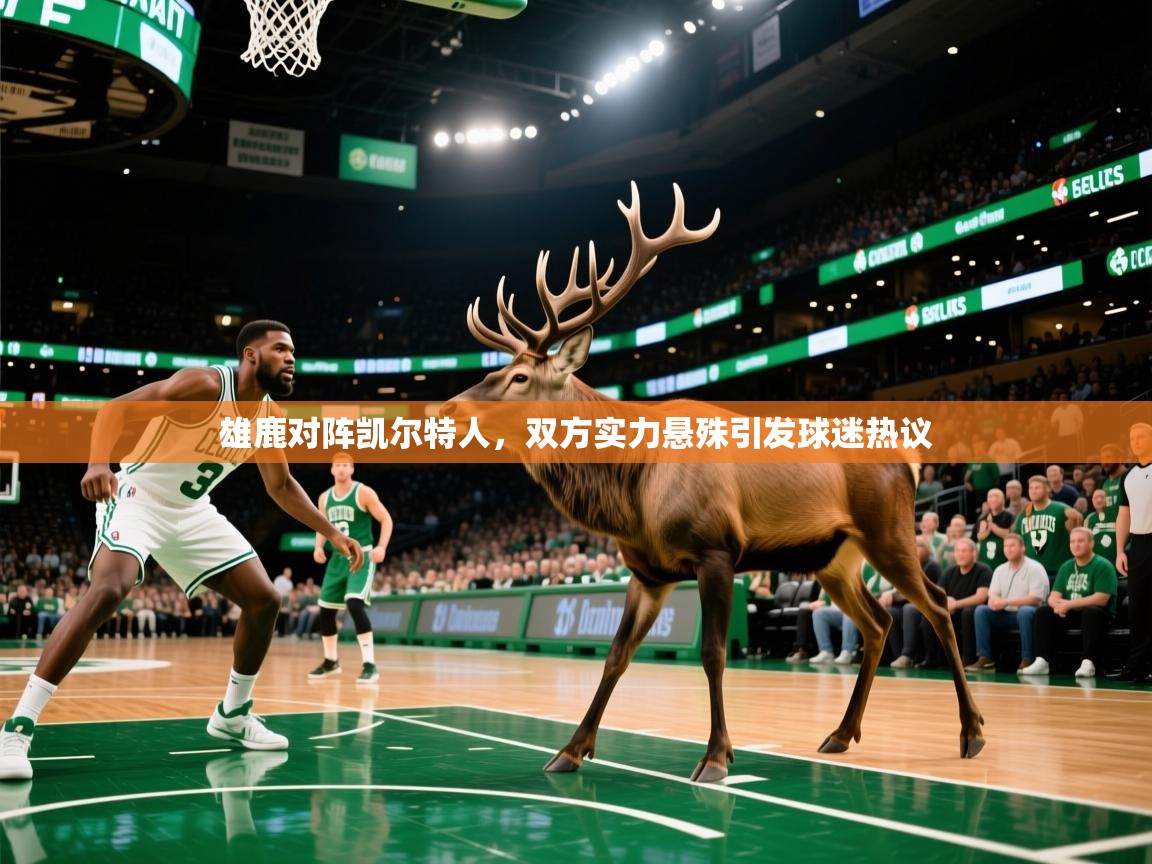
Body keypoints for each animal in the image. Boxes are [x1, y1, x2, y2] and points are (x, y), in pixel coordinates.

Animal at [440, 183, 985, 782]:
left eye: (519, 377)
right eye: (494, 370)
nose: (447, 407)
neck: (632, 493)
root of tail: (908, 461)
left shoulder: (716, 549)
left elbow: (713, 653)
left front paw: (717, 755)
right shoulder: (647, 572)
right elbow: (615, 655)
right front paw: (570, 749)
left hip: (887, 530)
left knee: (937, 604)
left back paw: (971, 732)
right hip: (835, 557)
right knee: (880, 620)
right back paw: (841, 734)